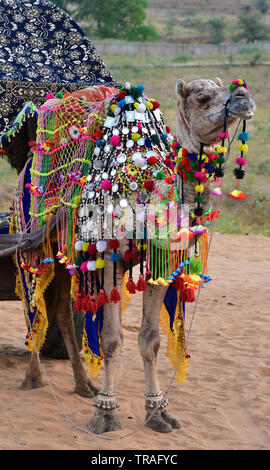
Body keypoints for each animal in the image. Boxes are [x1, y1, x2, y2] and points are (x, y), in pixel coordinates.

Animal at [0, 77, 255, 434]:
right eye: (203, 97)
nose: (244, 97)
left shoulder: (160, 266)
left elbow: (150, 341)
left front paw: (157, 412)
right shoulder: (111, 259)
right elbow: (110, 339)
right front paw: (105, 414)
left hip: (65, 255)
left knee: (61, 310)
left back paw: (83, 385)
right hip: (29, 240)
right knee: (32, 304)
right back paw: (33, 378)